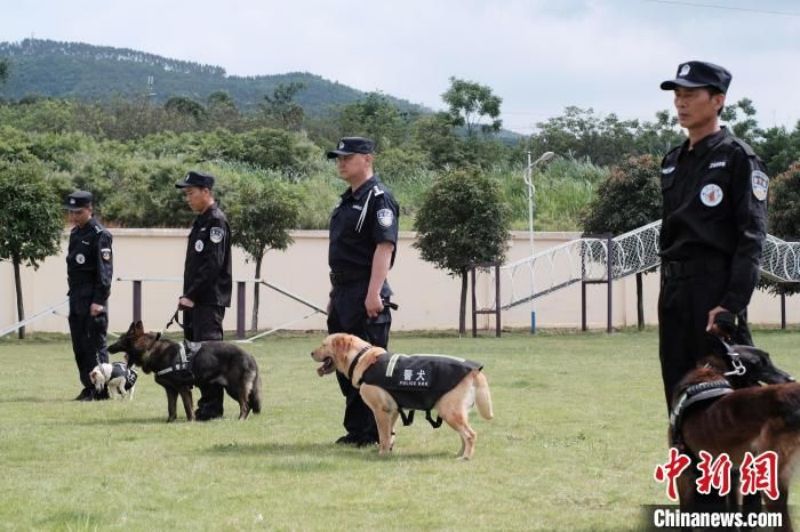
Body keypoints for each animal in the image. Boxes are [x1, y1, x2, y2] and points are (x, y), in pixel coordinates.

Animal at [106, 320, 260, 424]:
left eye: (120, 340)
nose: (108, 348)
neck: (150, 349)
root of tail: (250, 356)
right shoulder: (170, 390)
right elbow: (171, 408)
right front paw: (169, 422)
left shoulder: (183, 388)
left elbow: (187, 407)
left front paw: (191, 422)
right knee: (248, 405)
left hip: (234, 388)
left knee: (245, 405)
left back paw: (240, 419)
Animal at [312, 334, 494, 460]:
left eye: (324, 344)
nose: (311, 353)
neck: (360, 358)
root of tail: (475, 371)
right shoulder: (392, 411)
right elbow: (390, 435)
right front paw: (388, 451)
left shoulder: (380, 411)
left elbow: (383, 435)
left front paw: (382, 454)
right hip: (457, 412)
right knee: (464, 436)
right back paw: (459, 454)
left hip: (449, 411)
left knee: (470, 435)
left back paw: (466, 457)